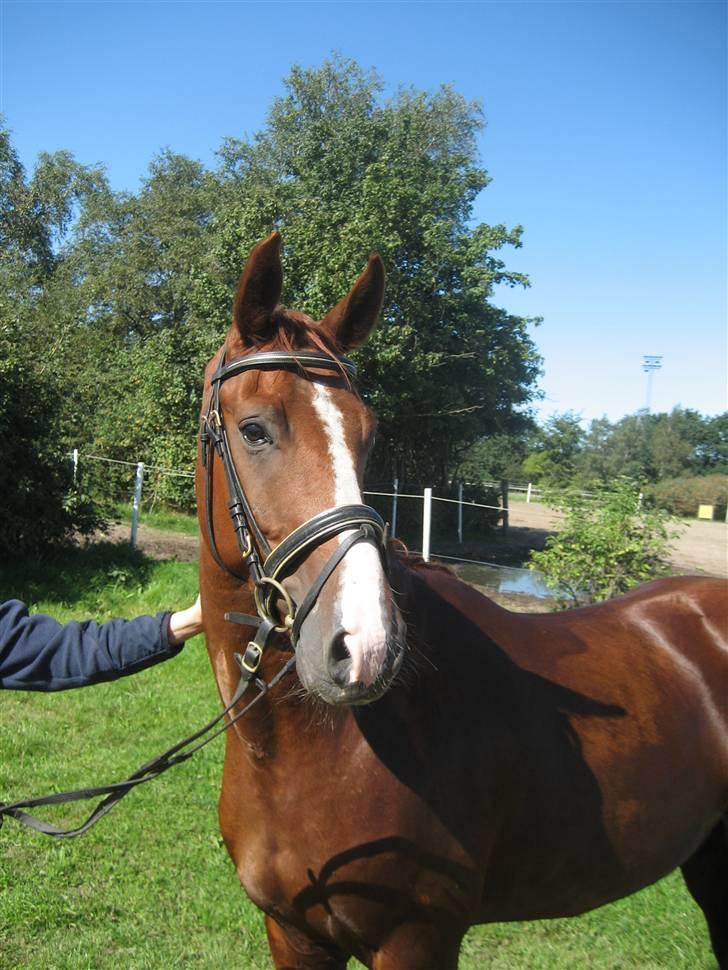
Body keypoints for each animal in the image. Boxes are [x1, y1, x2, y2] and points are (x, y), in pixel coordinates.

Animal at [198, 229, 728, 968]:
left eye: (369, 434)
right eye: (253, 429)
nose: (366, 646)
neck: (303, 753)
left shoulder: (417, 937)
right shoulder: (293, 934)